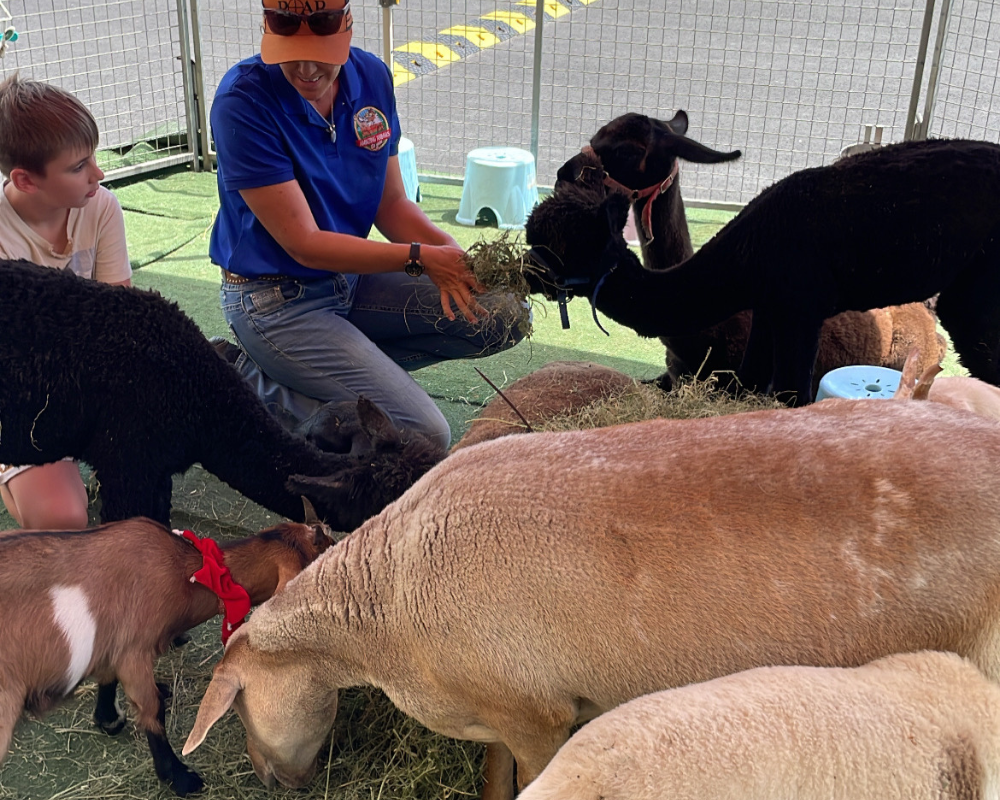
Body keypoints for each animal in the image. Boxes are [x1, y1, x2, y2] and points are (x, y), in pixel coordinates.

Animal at [0, 510, 336, 796]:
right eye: (321, 552)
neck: (186, 572)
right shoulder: (133, 651)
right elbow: (152, 708)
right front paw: (179, 777)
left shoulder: (112, 644)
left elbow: (108, 679)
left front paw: (109, 719)